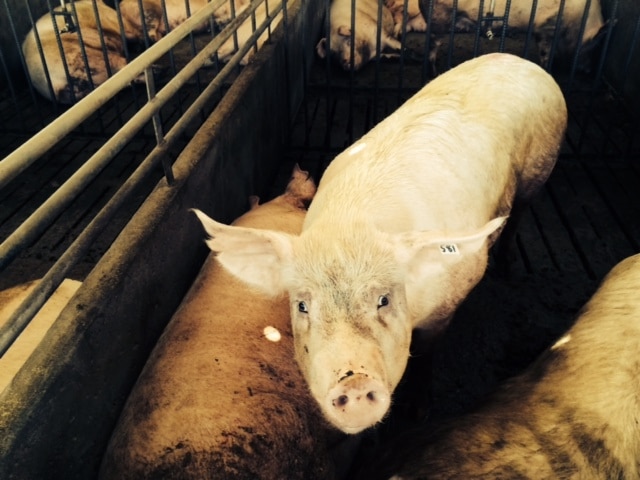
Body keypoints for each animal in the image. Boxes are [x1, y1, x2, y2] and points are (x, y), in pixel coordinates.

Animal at [192, 53, 568, 434]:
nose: (355, 382)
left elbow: (427, 355)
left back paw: (507, 265)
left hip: (540, 168)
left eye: (383, 300)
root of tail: (517, 59)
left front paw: (418, 414)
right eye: (302, 306)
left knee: (520, 211)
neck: (349, 229)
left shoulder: (447, 304)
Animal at [418, 0, 605, 72]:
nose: (589, 70)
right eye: (592, 46)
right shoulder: (548, 27)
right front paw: (547, 68)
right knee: (433, 46)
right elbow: (545, 53)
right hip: (440, 17)